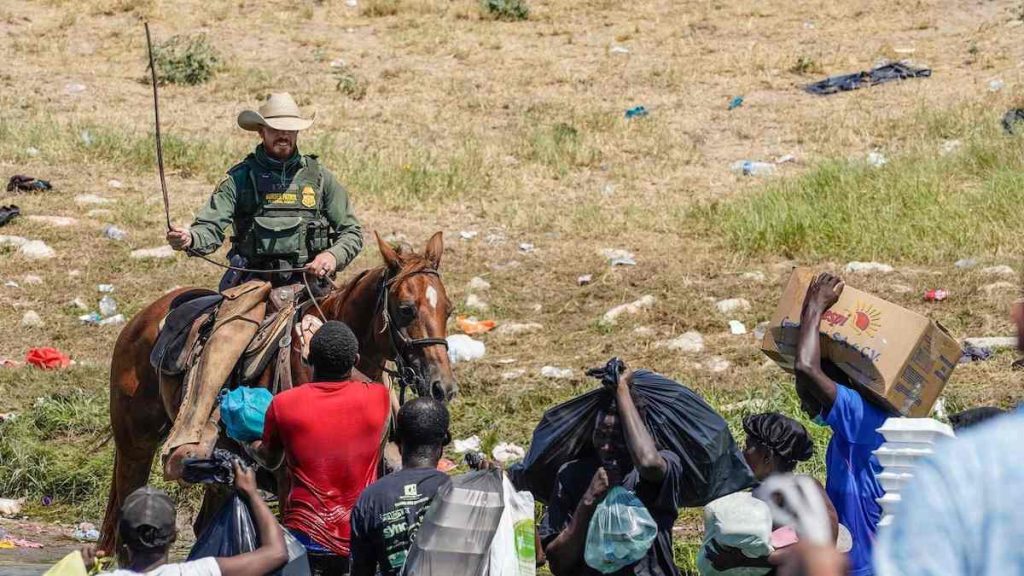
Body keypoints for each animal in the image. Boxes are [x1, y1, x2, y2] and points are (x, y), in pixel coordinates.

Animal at [98, 231, 456, 553]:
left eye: (448, 309)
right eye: (406, 308)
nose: (442, 386)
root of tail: (142, 318)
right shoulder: (289, 481)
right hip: (135, 447)